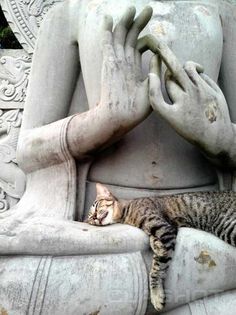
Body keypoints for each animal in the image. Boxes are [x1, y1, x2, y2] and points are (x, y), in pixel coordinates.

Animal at [86, 184, 236, 312]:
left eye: (96, 206)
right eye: (90, 219)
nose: (94, 217)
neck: (126, 213)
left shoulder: (165, 230)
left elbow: (156, 269)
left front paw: (156, 294)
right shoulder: (161, 233)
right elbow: (156, 248)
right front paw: (155, 245)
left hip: (226, 226)